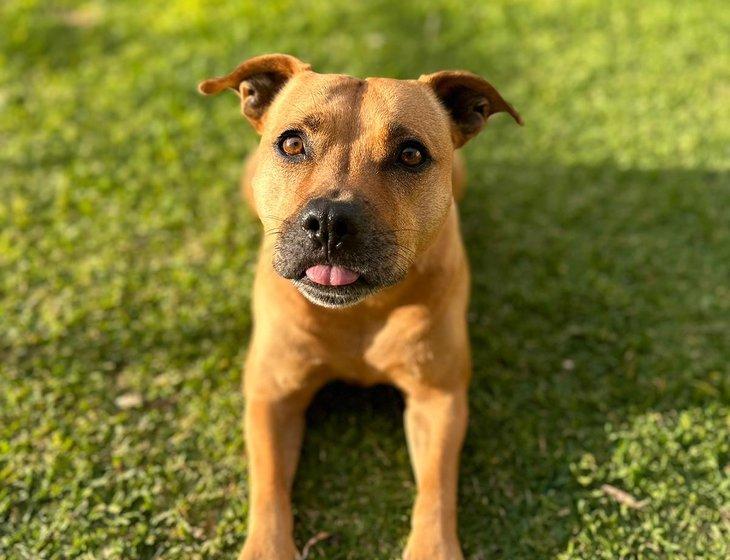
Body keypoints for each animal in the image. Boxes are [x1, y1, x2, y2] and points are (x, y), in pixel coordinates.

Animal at [198, 53, 516, 560]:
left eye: (411, 155)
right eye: (292, 144)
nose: (330, 219)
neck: (360, 312)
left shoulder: (439, 398)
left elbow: (436, 485)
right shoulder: (272, 395)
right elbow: (269, 484)